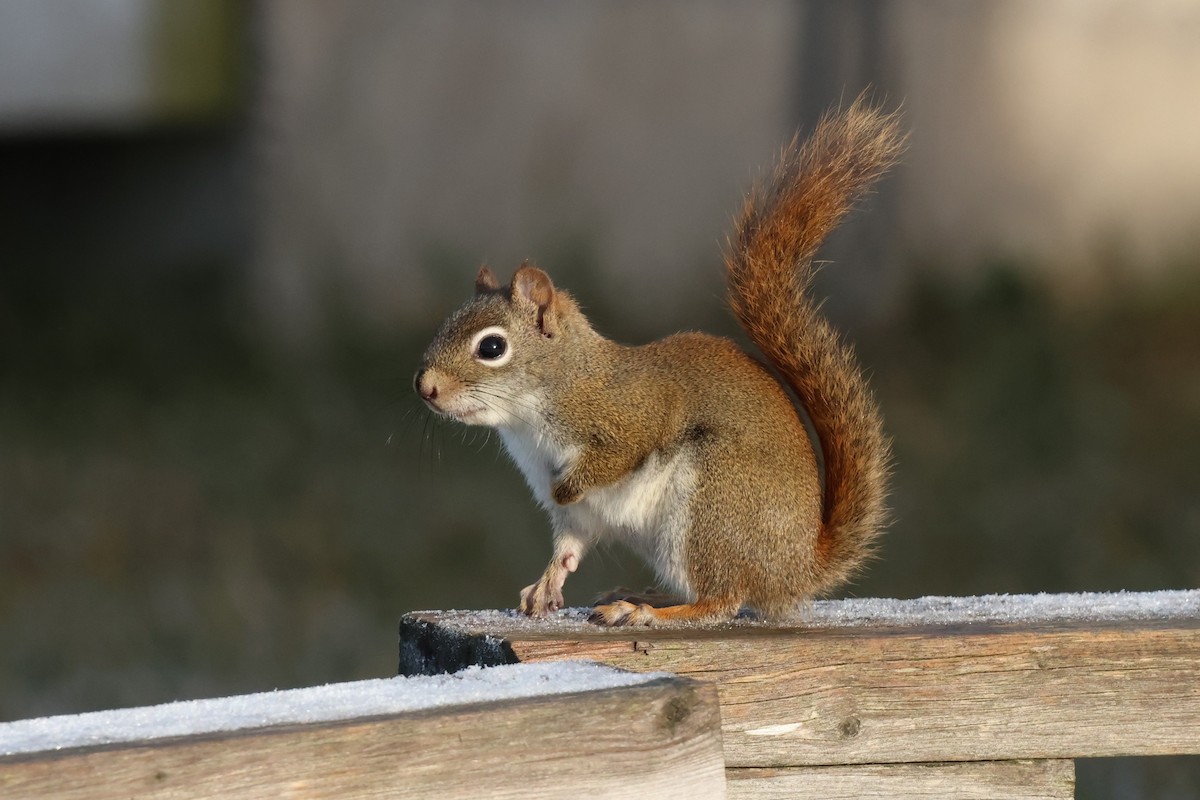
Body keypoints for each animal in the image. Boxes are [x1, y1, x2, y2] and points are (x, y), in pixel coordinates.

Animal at [415, 98, 904, 626]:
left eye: (491, 348)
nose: (425, 386)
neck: (540, 406)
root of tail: (795, 570)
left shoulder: (631, 416)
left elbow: (616, 456)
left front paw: (568, 488)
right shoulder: (576, 517)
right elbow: (568, 549)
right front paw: (544, 587)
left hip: (711, 503)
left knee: (720, 599)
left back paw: (648, 613)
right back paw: (640, 597)